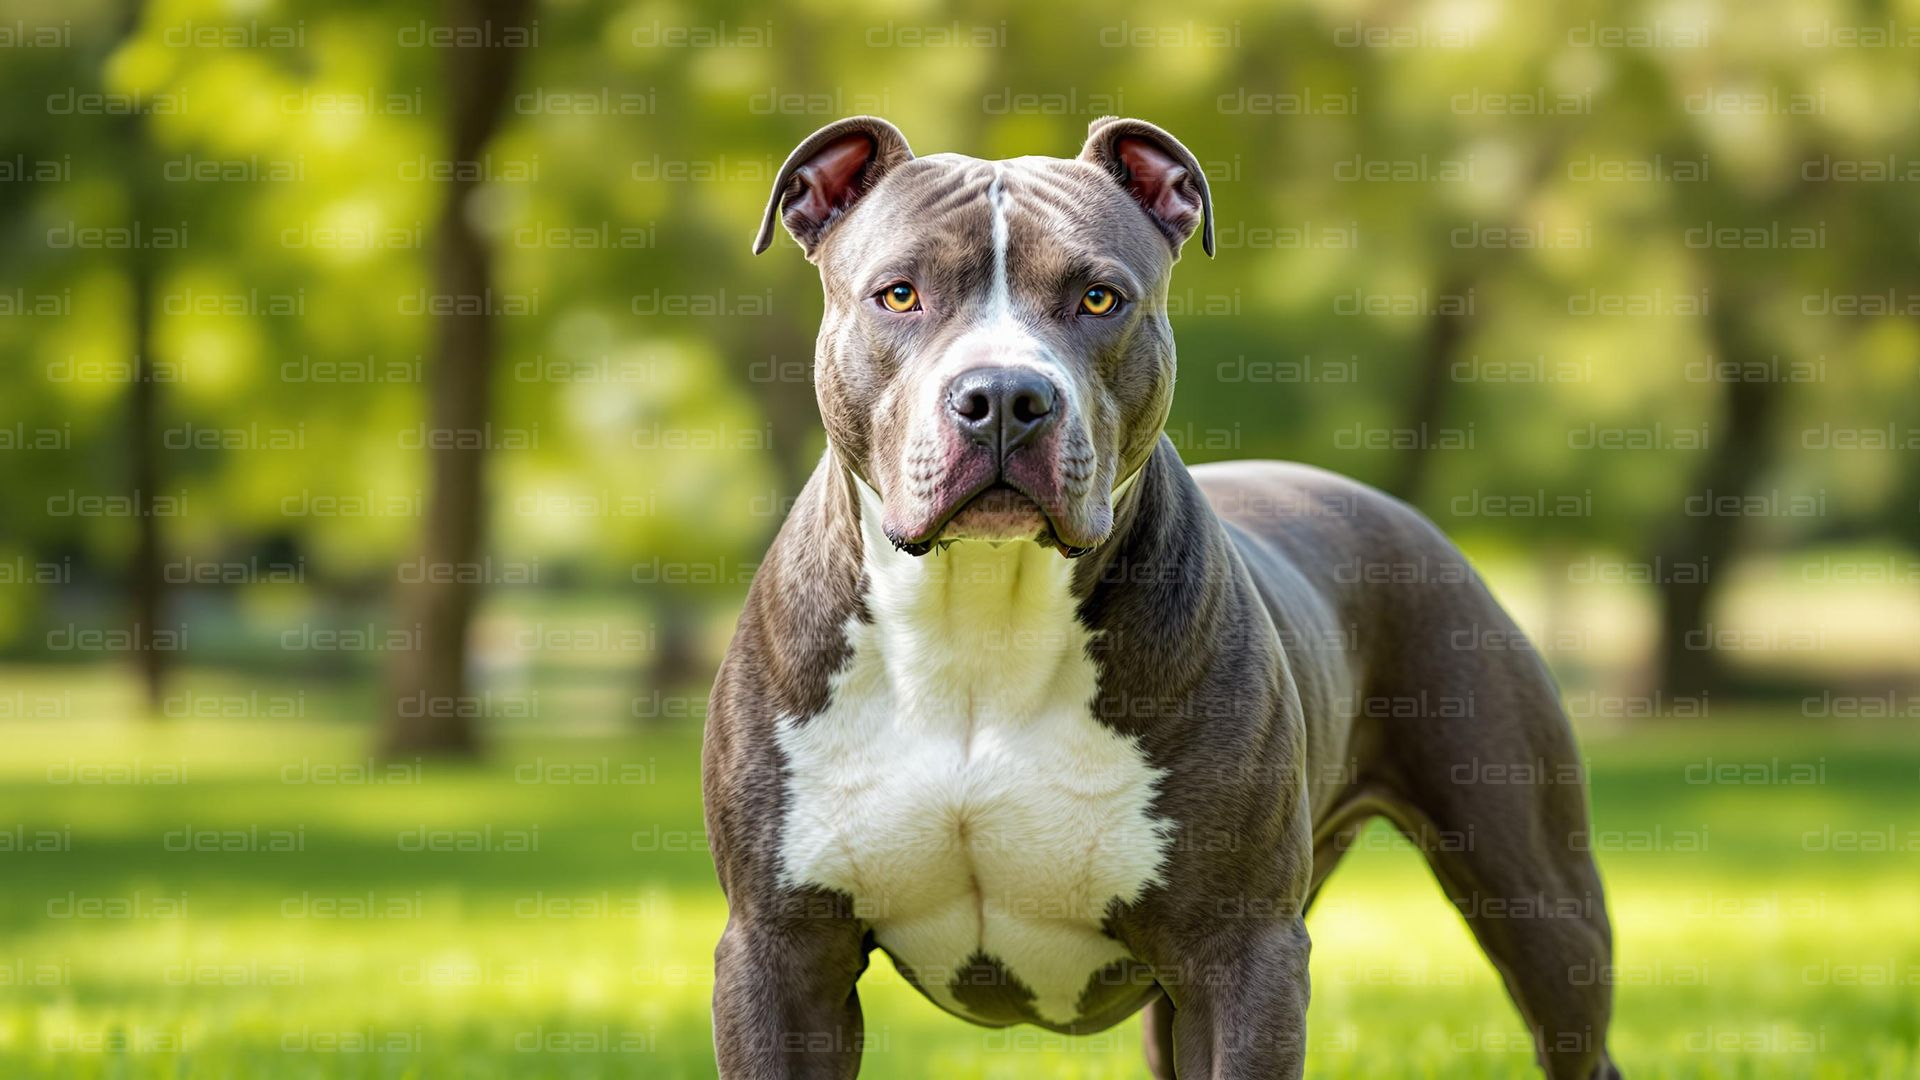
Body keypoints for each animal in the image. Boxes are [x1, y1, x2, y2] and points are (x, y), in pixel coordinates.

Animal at [706, 117, 1620, 1076]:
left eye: (1100, 298)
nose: (1004, 395)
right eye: (899, 295)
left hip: (1537, 897)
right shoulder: (780, 956)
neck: (981, 615)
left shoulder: (1241, 956)